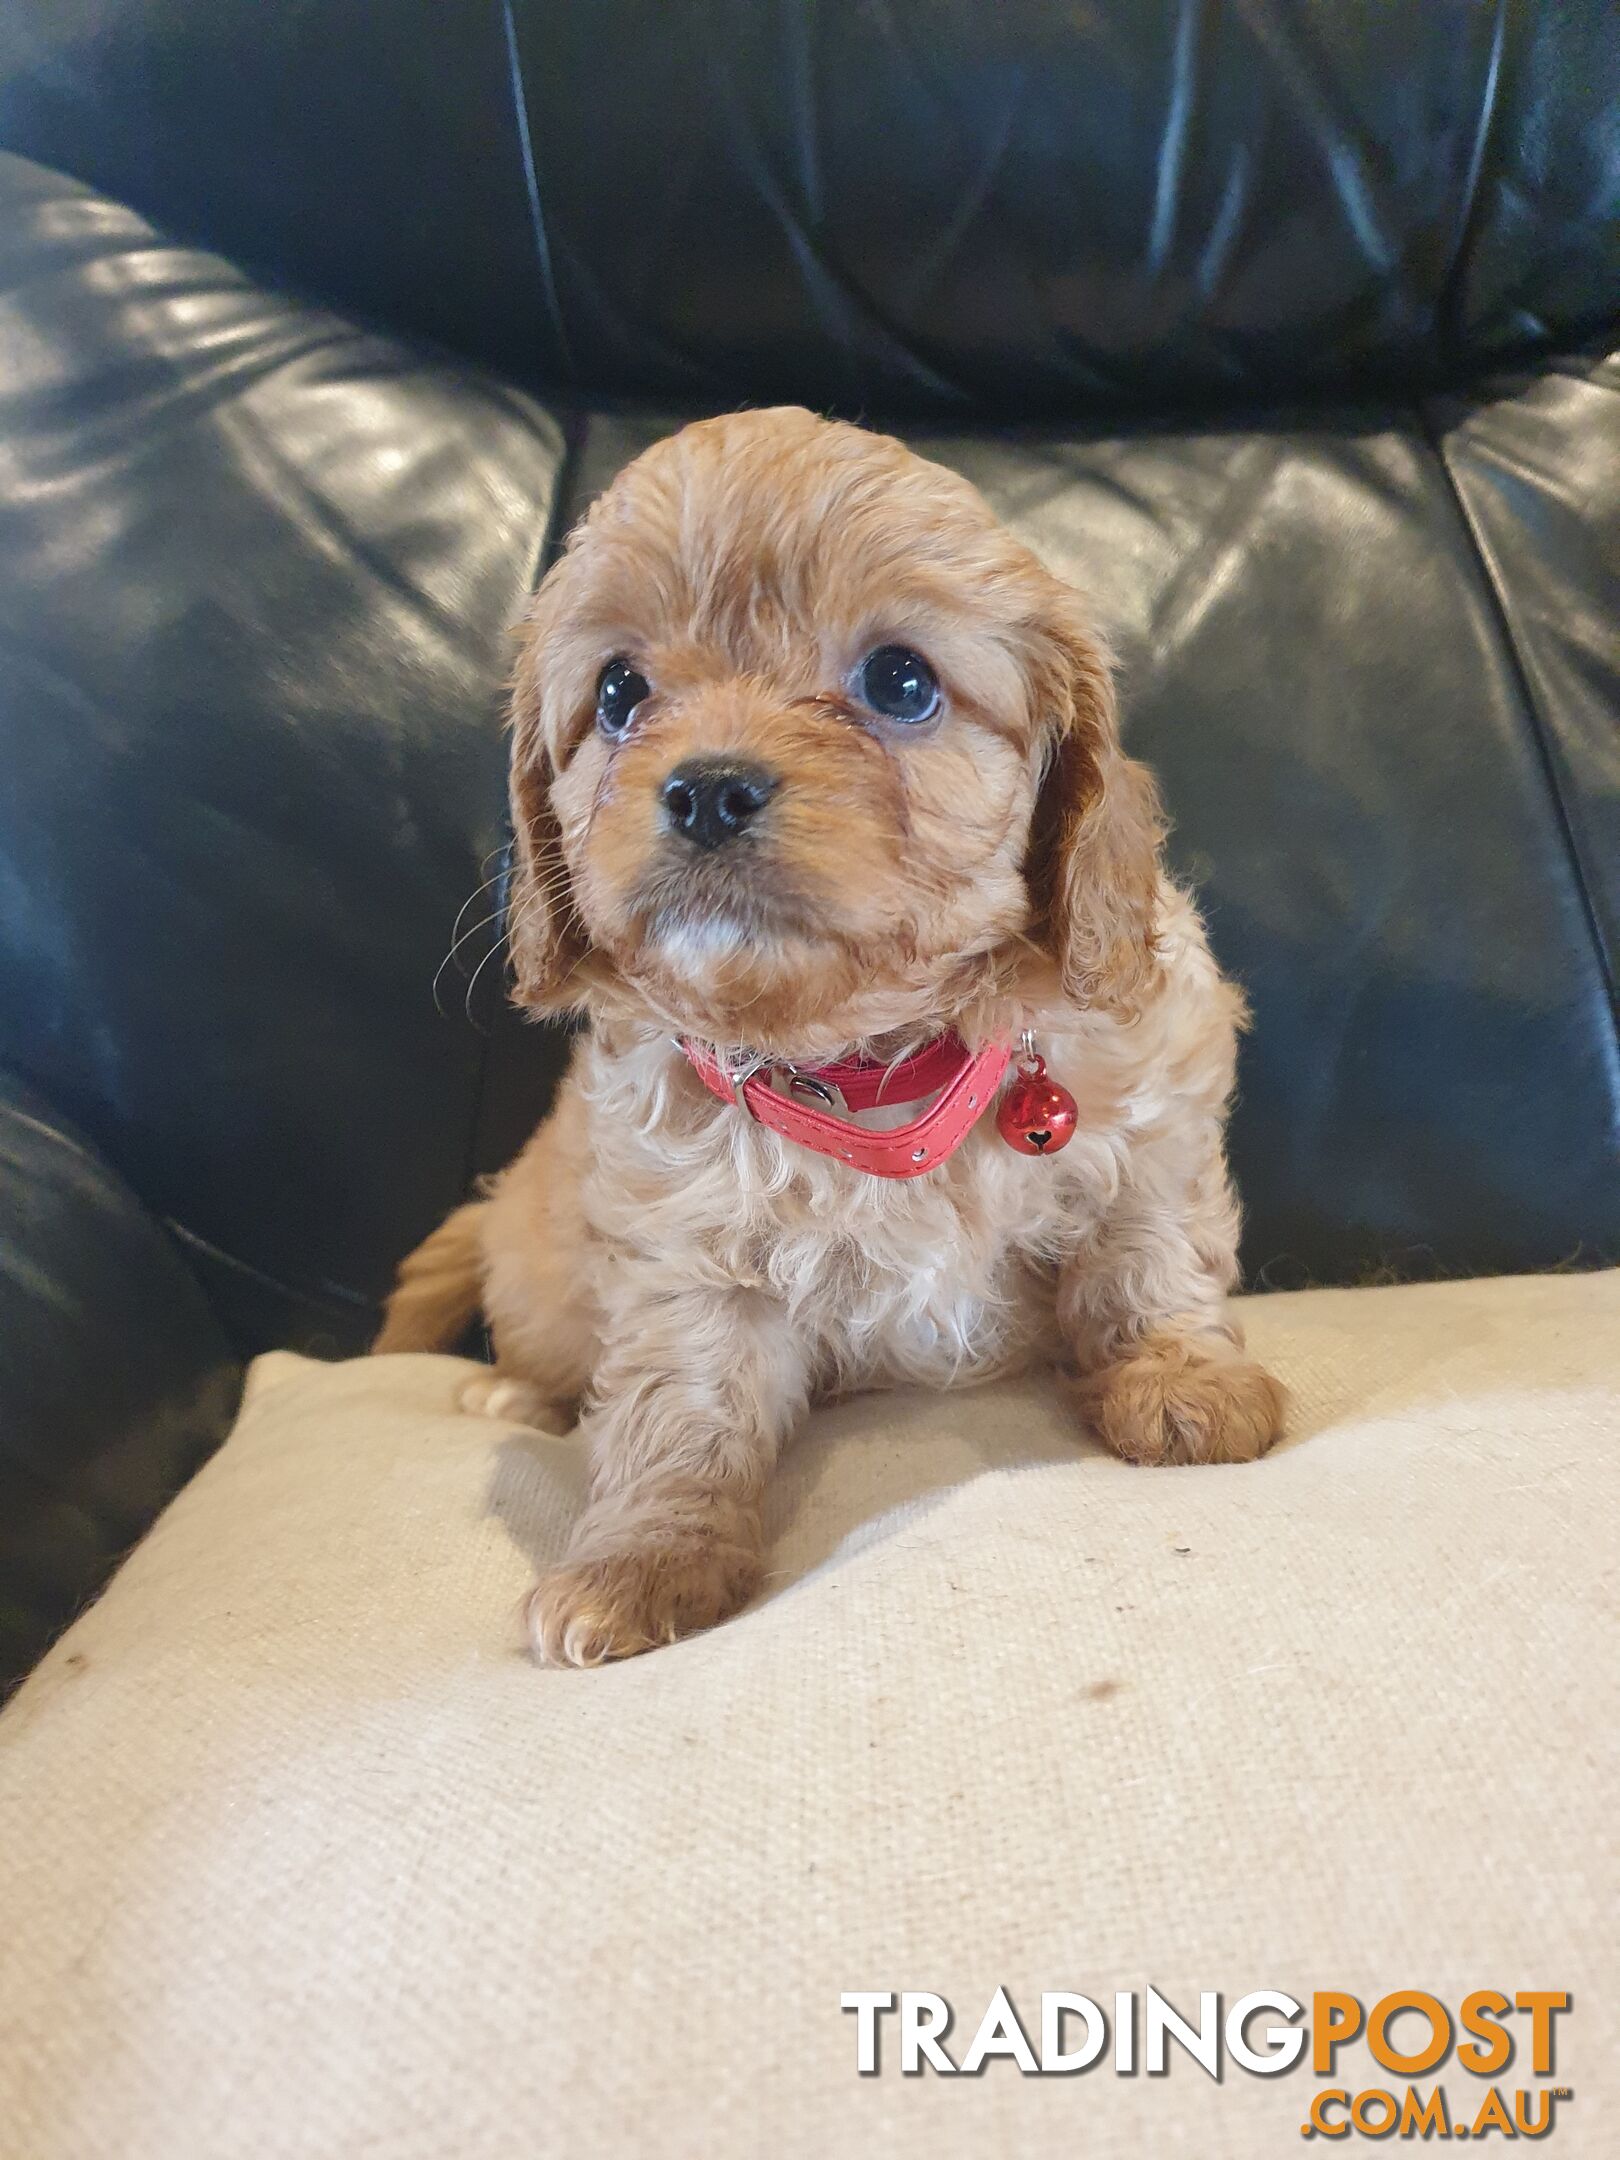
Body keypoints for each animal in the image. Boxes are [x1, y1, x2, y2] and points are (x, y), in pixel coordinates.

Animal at [378, 406, 1278, 1667]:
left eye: (900, 680)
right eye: (619, 692)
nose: (706, 789)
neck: (868, 1054)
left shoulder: (1157, 1118)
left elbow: (1148, 1260)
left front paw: (1185, 1384)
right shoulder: (684, 1253)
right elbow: (681, 1408)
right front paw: (639, 1560)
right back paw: (512, 1394)